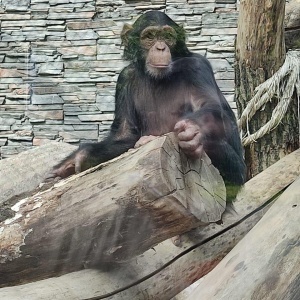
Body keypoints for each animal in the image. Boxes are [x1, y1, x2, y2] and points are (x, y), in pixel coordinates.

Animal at [49, 12, 246, 202]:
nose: (160, 48)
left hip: (237, 175)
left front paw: (192, 130)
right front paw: (78, 158)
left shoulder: (197, 67)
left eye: (167, 36)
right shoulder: (124, 78)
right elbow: (125, 134)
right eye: (150, 36)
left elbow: (212, 107)